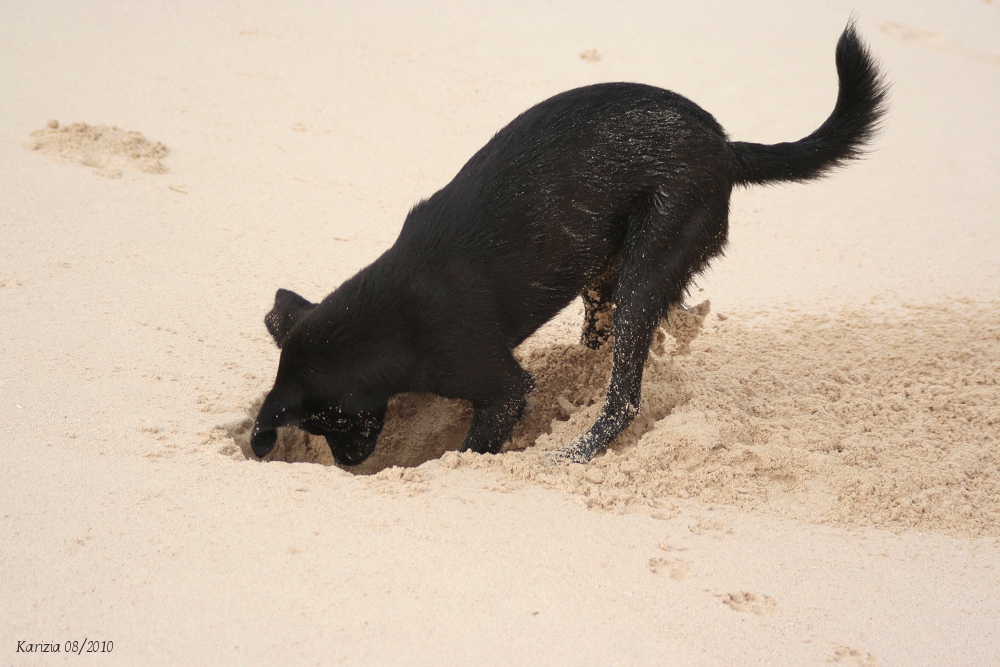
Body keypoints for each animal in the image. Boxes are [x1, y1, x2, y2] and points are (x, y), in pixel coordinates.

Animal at [252, 24, 892, 464]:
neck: (390, 317)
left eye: (327, 423)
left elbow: (474, 444)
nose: (350, 466)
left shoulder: (502, 388)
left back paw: (572, 455)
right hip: (604, 273)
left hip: (647, 265)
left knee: (625, 400)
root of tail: (725, 146)